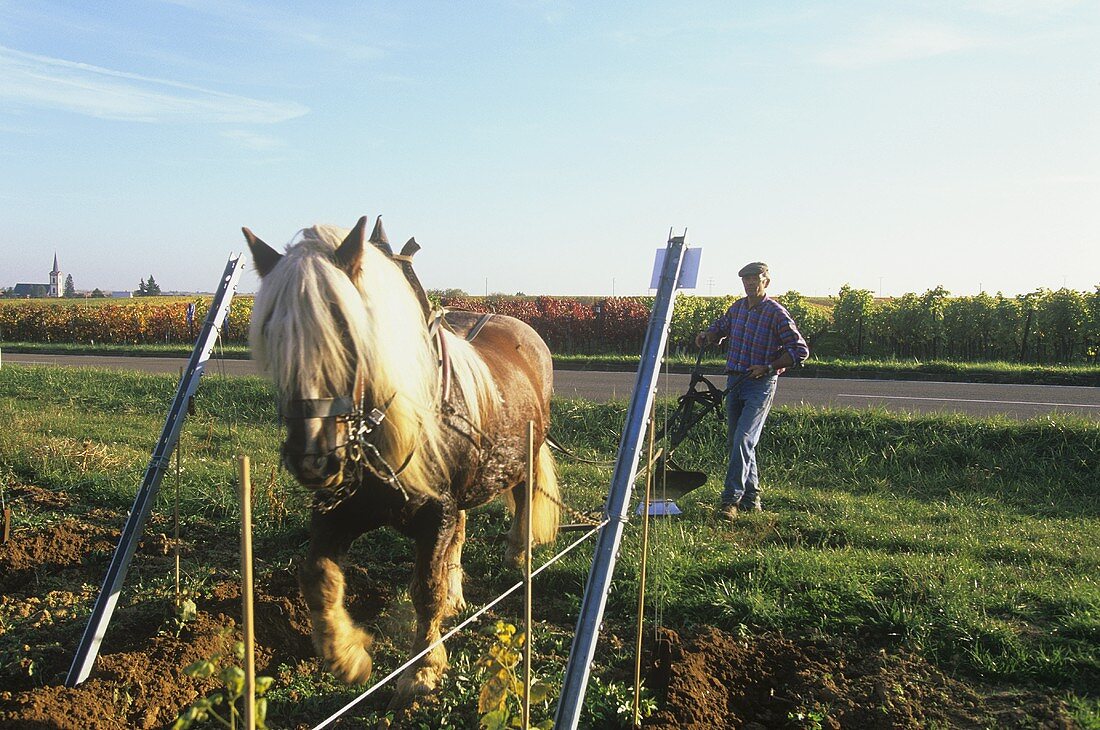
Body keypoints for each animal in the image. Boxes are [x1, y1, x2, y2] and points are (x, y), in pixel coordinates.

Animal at [245, 216, 563, 703]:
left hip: (524, 453)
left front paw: (423, 669)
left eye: (347, 332)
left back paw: (517, 555)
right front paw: (348, 657)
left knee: (524, 500)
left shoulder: (436, 511)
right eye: (273, 335)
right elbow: (317, 575)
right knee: (461, 533)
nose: (314, 458)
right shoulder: (340, 510)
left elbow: (425, 588)